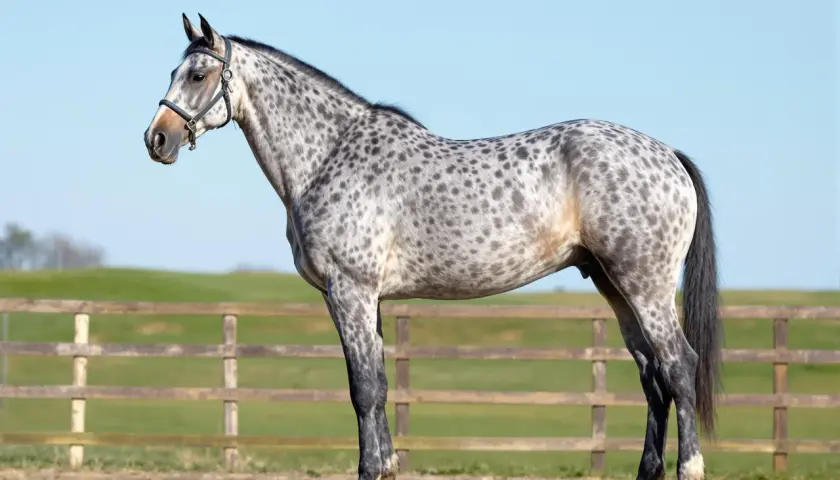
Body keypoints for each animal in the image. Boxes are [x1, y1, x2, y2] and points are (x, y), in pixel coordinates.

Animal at [144, 14, 721, 480]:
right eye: (173, 73)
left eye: (198, 75)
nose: (157, 140)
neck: (329, 154)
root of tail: (667, 154)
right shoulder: (366, 298)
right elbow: (377, 388)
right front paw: (386, 467)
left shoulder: (350, 291)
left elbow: (363, 390)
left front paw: (370, 470)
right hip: (613, 285)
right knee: (653, 379)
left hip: (643, 284)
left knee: (678, 366)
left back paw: (690, 468)